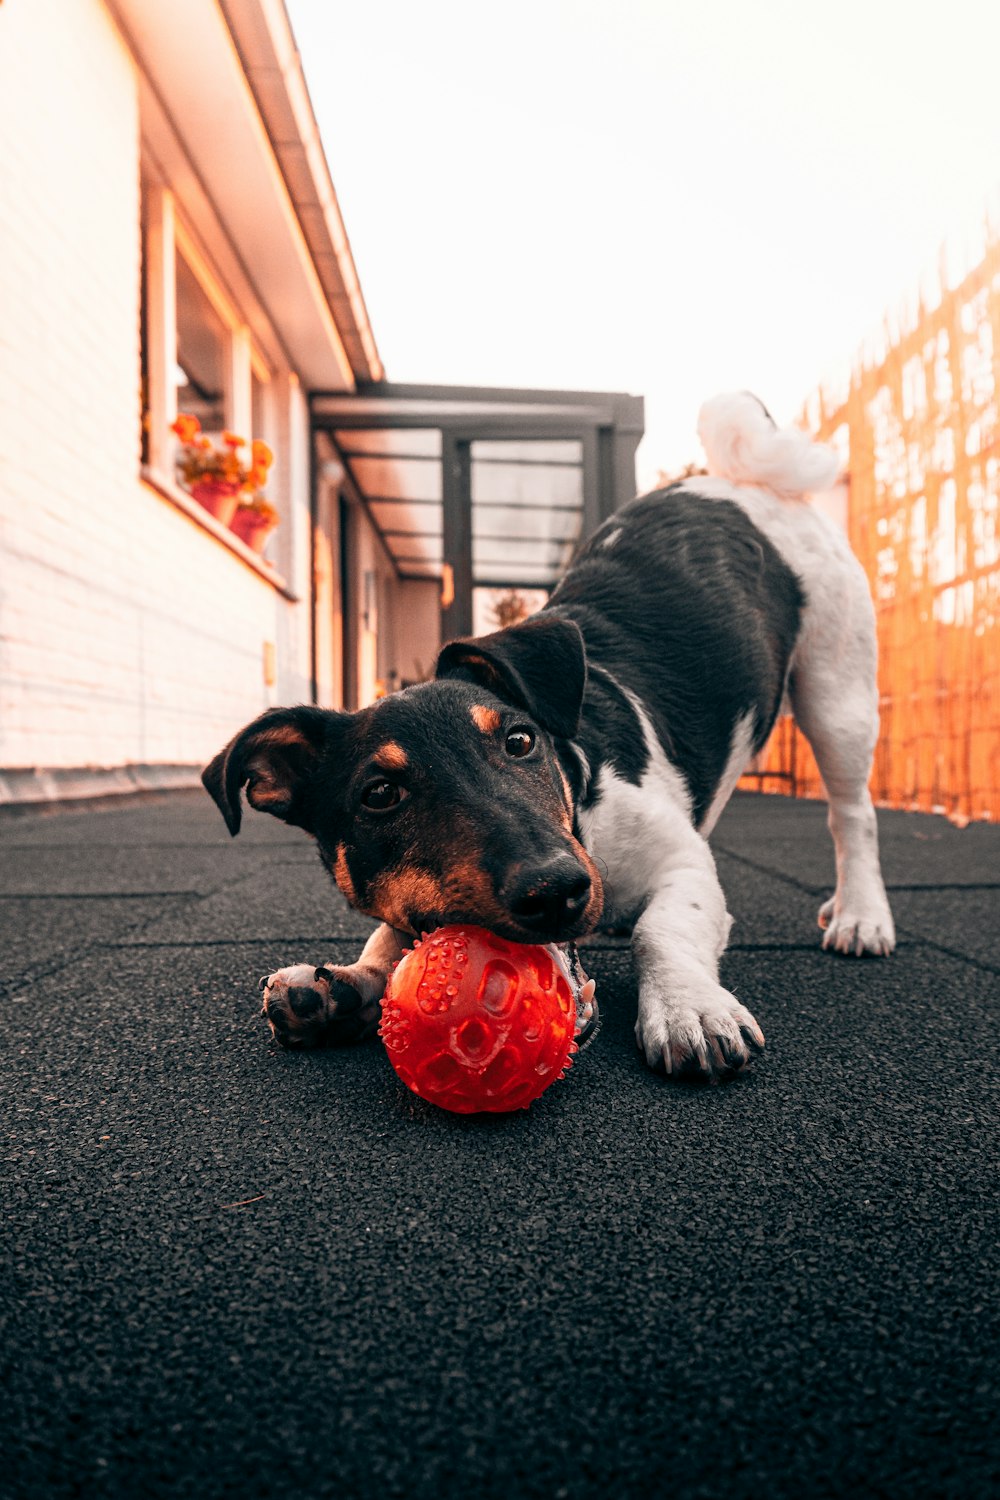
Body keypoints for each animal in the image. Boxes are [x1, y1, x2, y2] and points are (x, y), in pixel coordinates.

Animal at [200, 396, 893, 1080]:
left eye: (519, 743)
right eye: (379, 795)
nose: (557, 890)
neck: (581, 804)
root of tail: (743, 481)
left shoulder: (681, 862)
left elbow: (663, 928)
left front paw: (687, 1007)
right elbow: (389, 939)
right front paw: (345, 985)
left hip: (838, 694)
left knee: (852, 815)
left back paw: (859, 914)